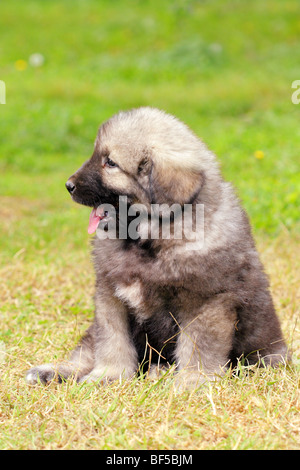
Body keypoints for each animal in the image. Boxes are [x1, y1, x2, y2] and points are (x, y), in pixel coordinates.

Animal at [25, 108, 288, 388]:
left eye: (110, 163)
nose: (69, 185)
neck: (150, 238)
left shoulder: (206, 302)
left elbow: (198, 347)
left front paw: (191, 381)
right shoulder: (110, 295)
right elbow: (112, 341)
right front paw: (108, 375)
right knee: (86, 350)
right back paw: (52, 371)